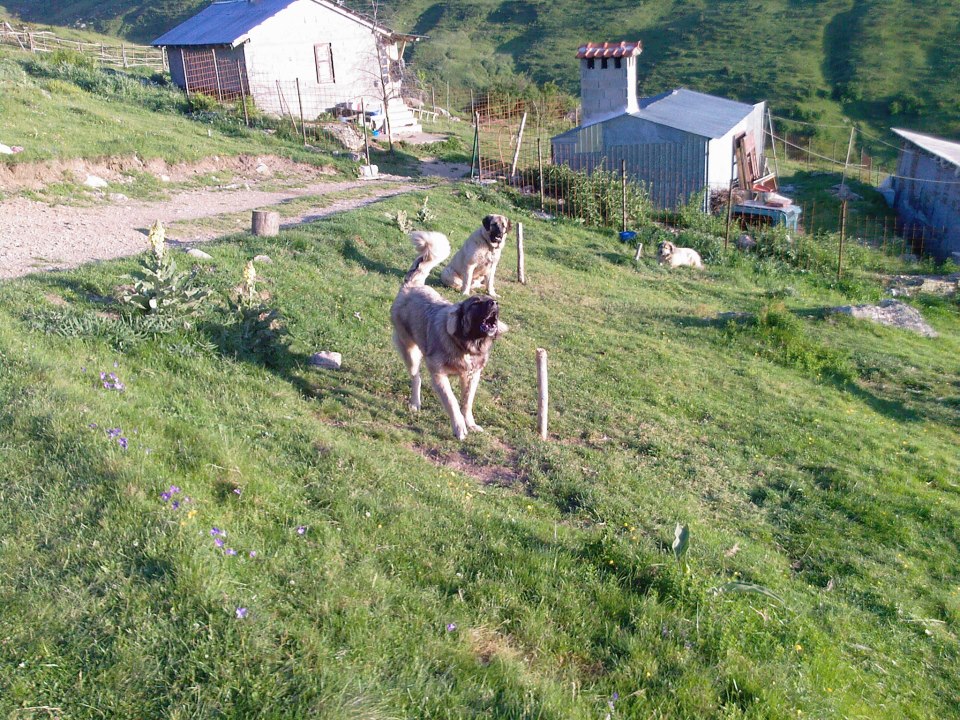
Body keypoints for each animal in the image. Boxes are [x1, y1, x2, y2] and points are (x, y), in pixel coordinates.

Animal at [392, 233, 510, 442]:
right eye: (476, 303)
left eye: (490, 301)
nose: (494, 303)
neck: (467, 344)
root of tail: (411, 286)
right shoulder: (438, 373)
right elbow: (452, 401)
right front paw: (459, 427)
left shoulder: (472, 375)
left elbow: (466, 402)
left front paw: (470, 424)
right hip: (410, 351)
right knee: (416, 377)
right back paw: (415, 403)